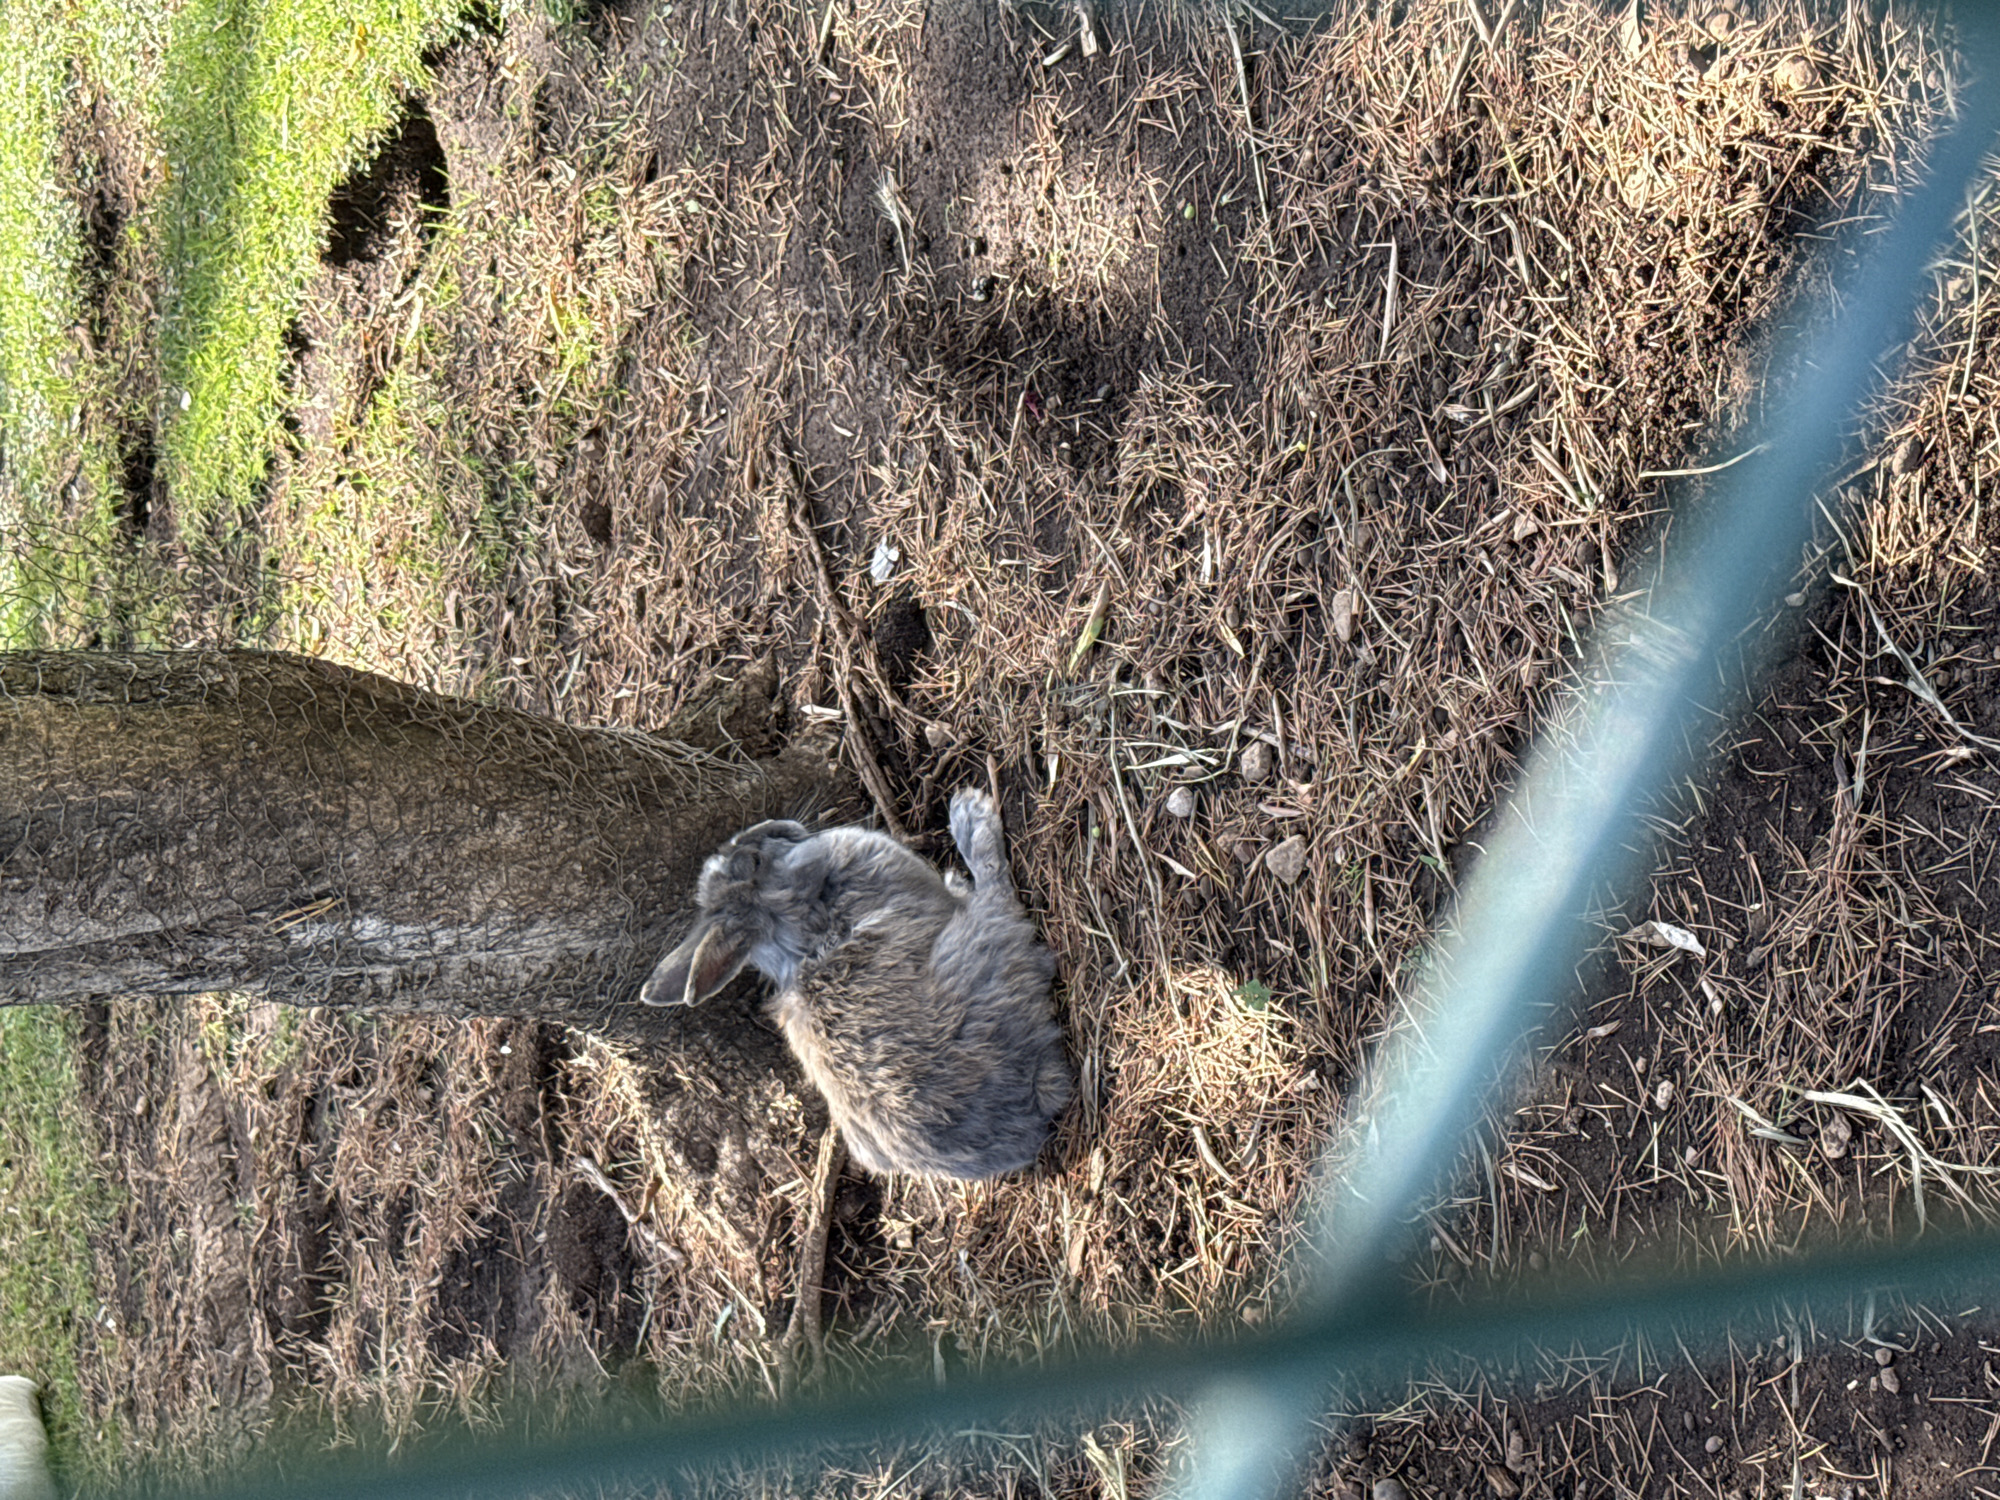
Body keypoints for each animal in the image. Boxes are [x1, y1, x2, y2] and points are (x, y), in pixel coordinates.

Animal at [640, 787, 1071, 1179]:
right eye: (755, 861)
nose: (779, 825)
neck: (804, 931)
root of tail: (1020, 1133)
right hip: (984, 943)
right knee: (1000, 896)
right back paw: (971, 816)